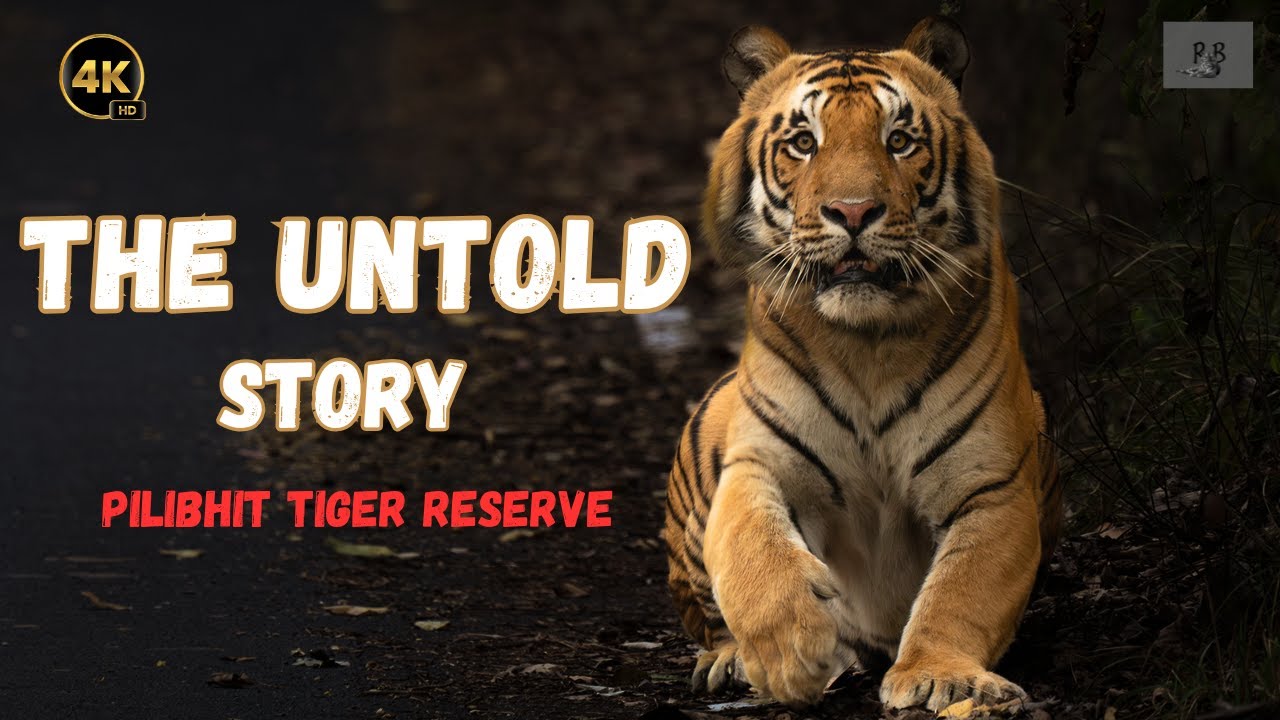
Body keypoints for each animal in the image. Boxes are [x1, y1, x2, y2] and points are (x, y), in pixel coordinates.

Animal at [662, 16, 1063, 713]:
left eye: (898, 141)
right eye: (803, 142)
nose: (852, 212)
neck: (866, 345)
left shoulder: (991, 485)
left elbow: (964, 589)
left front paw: (939, 676)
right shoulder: (758, 460)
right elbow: (752, 552)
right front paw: (791, 652)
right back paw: (730, 660)